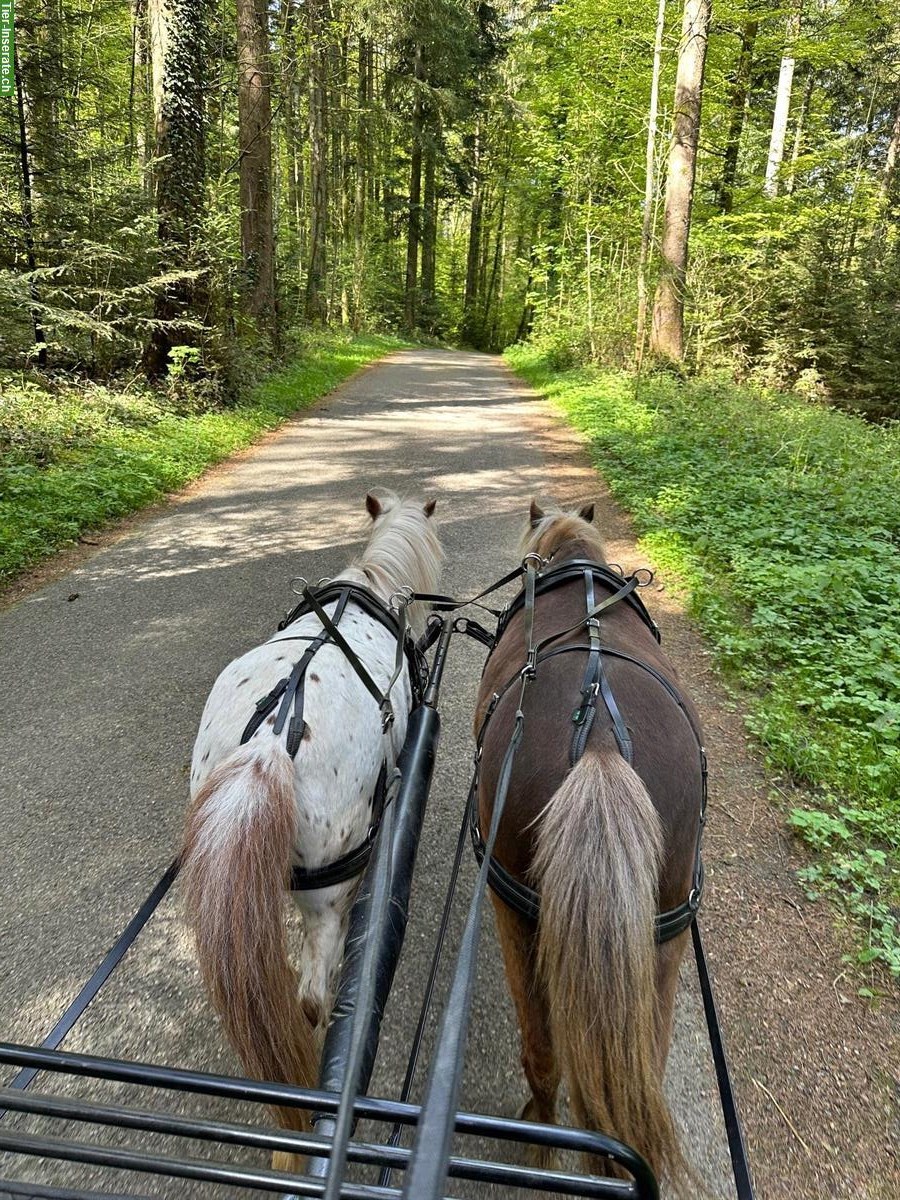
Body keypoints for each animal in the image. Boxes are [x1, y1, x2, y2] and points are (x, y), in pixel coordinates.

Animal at [475, 501, 710, 1185]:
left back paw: (538, 1133)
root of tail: (601, 743)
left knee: (543, 1053)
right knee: (637, 1074)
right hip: (662, 931)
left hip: (514, 911)